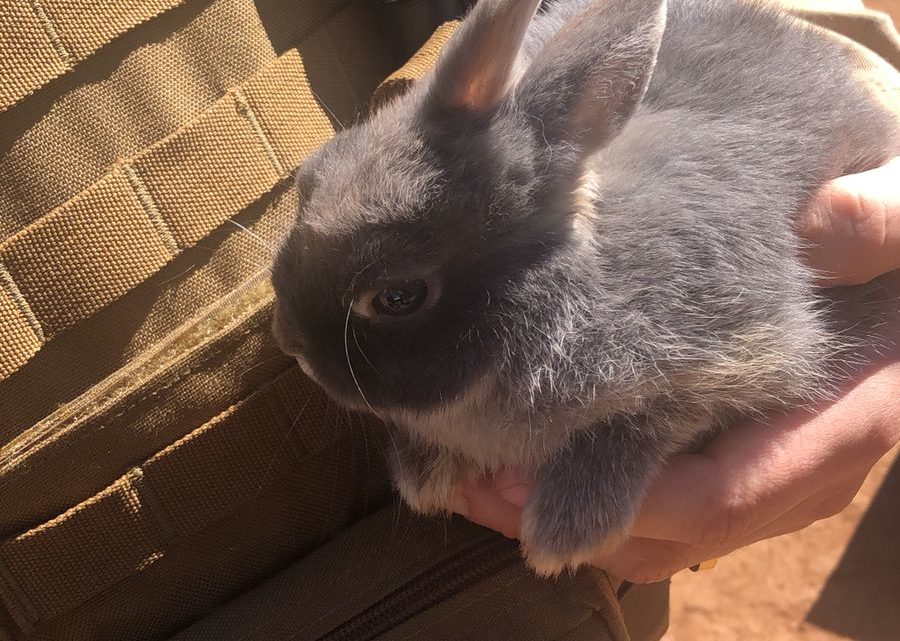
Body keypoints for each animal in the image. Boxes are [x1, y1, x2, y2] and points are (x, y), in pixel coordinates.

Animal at [272, 0, 900, 576]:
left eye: (398, 296)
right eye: (310, 180)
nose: (290, 343)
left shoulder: (741, 352)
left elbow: (638, 425)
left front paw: (562, 534)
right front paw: (424, 476)